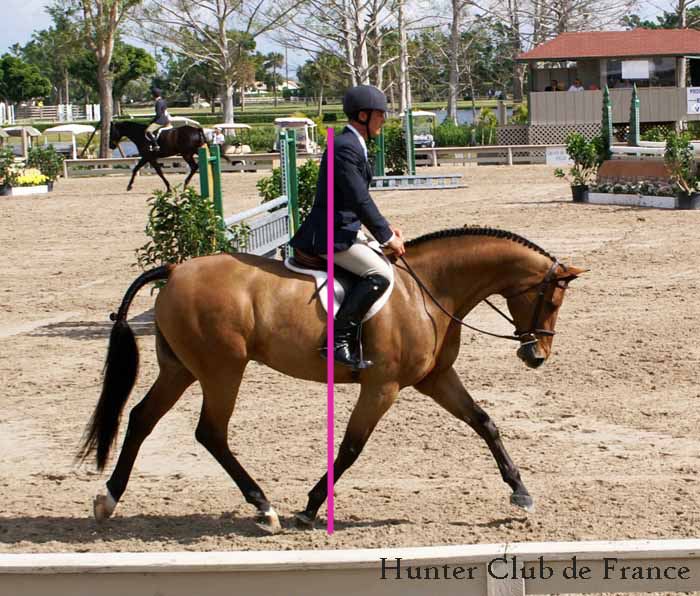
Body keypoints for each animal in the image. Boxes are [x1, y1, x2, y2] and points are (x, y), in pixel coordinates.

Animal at [79, 227, 586, 533]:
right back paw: (264, 506)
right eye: (552, 300)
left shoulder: (436, 378)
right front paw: (310, 507)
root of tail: (175, 268)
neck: (427, 292)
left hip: (181, 369)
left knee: (142, 418)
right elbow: (351, 448)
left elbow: (484, 422)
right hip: (223, 370)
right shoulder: (382, 387)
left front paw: (521, 493)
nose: (536, 356)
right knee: (210, 432)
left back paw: (108, 499)